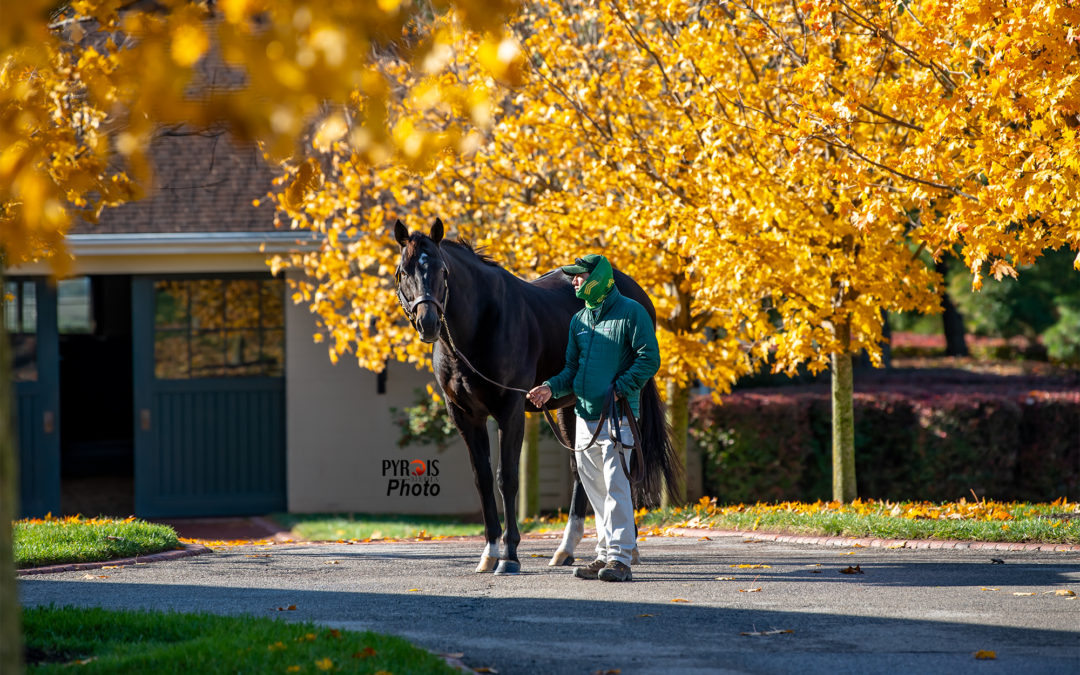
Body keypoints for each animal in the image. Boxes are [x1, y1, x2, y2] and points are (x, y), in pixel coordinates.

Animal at [397, 218, 678, 570]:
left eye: (442, 270)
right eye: (403, 271)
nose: (429, 322)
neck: (480, 325)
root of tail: (637, 292)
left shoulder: (510, 409)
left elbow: (507, 478)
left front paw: (510, 555)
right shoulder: (464, 414)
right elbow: (483, 479)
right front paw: (490, 552)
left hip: (619, 403)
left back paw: (624, 547)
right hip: (572, 407)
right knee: (582, 469)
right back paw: (569, 549)